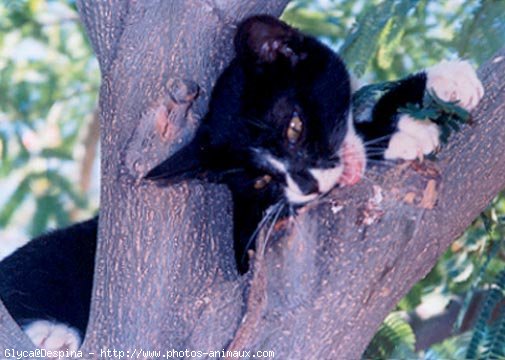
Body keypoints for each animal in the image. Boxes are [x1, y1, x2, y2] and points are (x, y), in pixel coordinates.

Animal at [0, 14, 482, 352]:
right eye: (260, 180)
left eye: (294, 126)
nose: (306, 185)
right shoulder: (247, 240)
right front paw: (404, 132)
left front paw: (446, 80)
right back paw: (52, 337)